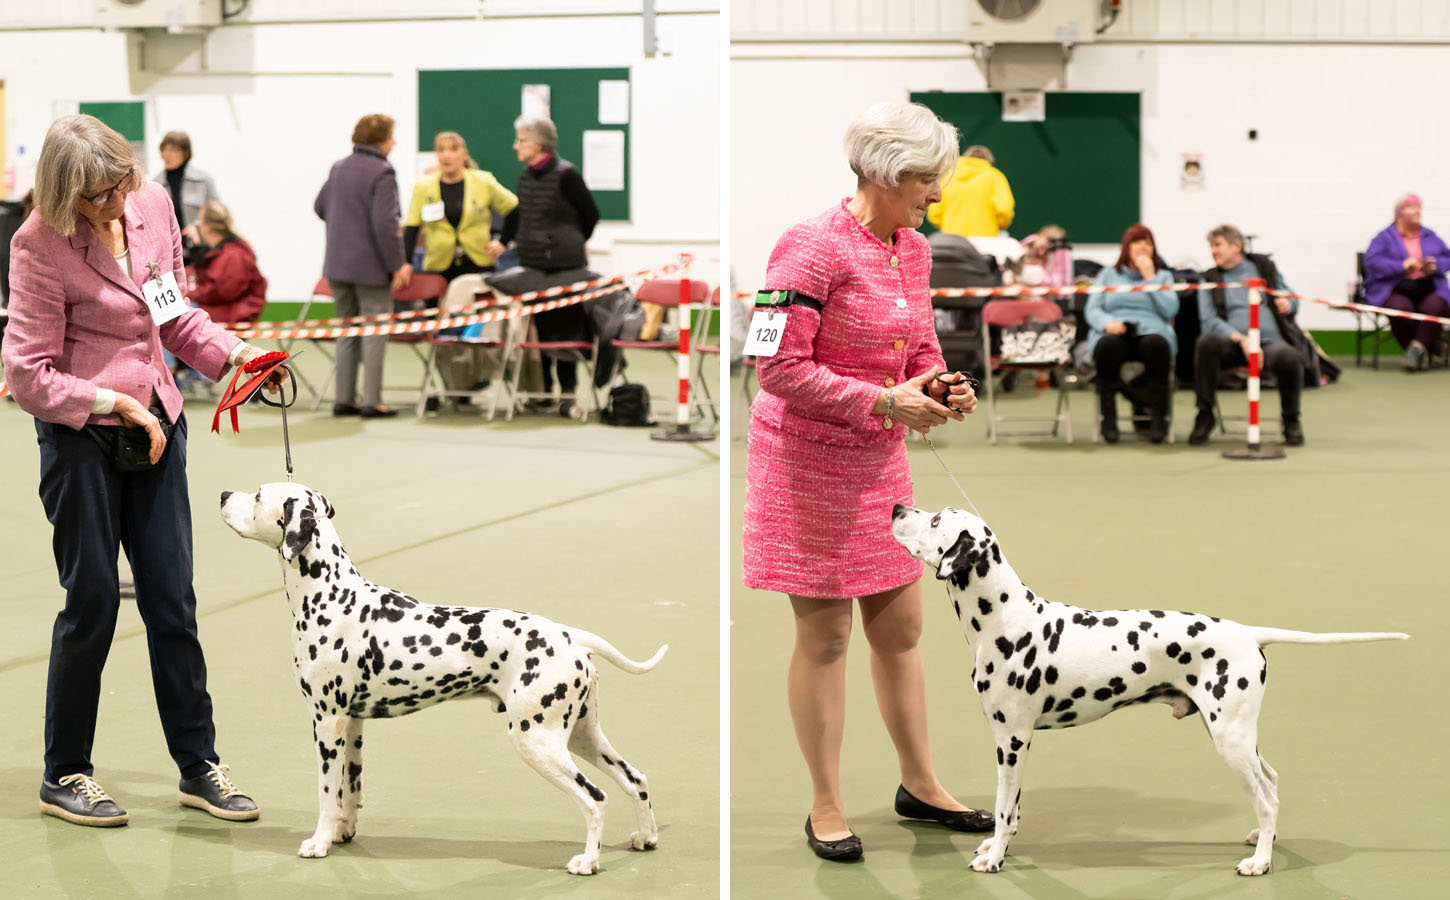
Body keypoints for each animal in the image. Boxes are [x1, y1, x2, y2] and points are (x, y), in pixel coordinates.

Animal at [220, 482, 666, 875]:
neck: (331, 595)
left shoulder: (327, 722)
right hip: (579, 735)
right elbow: (352, 789)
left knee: (595, 798)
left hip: (537, 741)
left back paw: (587, 862)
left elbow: (328, 794)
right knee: (635, 779)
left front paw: (320, 843)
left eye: (258, 495)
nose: (223, 495)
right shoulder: (354, 723)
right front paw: (344, 832)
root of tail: (570, 636)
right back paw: (645, 838)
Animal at [891, 504, 1408, 876]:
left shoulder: (1012, 740)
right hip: (1238, 736)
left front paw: (994, 857)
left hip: (1230, 741)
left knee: (1266, 798)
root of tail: (1248, 633)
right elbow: (1012, 809)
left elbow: (1002, 808)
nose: (896, 507)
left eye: (935, 519)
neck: (1005, 617)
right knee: (1273, 785)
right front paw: (997, 848)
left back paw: (1259, 862)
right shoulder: (1017, 742)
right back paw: (1262, 840)